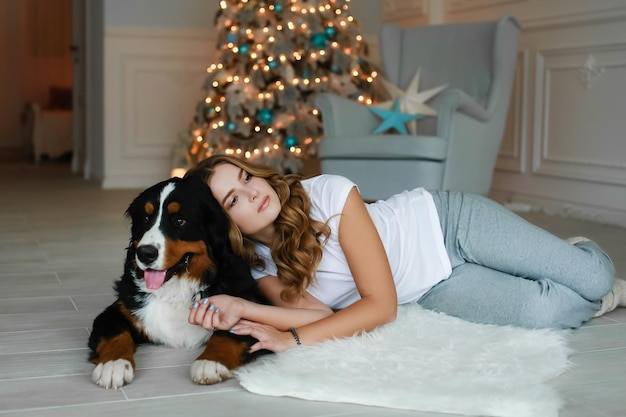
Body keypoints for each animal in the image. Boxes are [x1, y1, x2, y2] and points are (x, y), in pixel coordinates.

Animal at [87, 175, 266, 386]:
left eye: (180, 220)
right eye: (145, 219)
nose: (145, 253)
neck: (175, 291)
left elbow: (227, 336)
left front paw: (209, 362)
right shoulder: (118, 310)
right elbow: (114, 333)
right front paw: (113, 364)